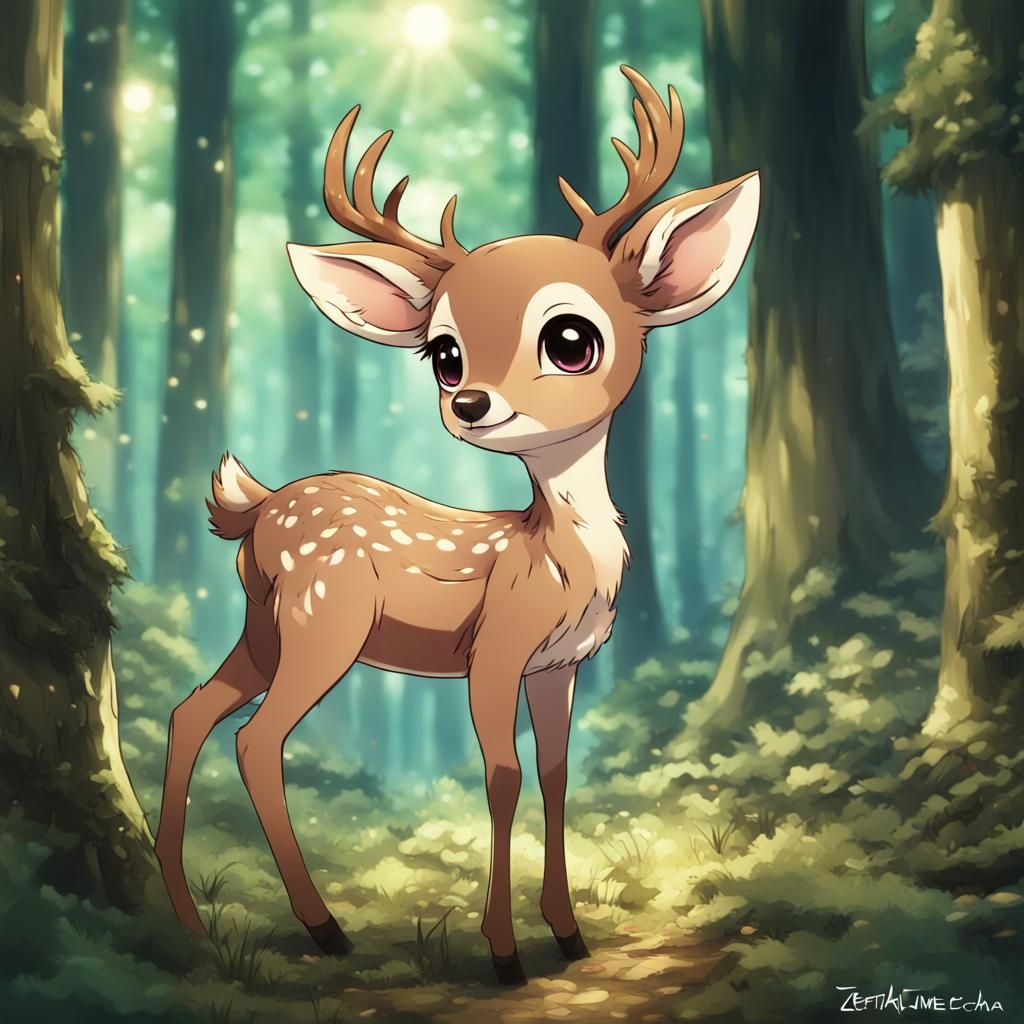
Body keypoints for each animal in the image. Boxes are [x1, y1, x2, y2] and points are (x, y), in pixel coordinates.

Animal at [153, 66, 758, 986]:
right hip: (325, 619)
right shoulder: (494, 649)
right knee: (256, 739)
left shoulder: (561, 665)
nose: (470, 402)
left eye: (571, 338)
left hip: (265, 622)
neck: (554, 561)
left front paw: (569, 935)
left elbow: (555, 773)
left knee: (192, 712)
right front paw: (505, 952)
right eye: (444, 354)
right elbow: (501, 774)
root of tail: (253, 507)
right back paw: (323, 928)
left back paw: (189, 921)